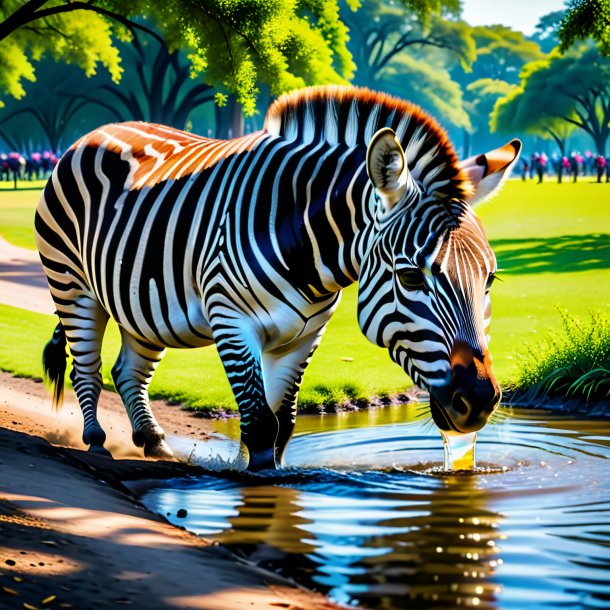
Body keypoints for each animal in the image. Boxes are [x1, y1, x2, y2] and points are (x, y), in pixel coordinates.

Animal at [35, 85, 516, 468]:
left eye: (489, 280)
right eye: (412, 278)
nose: (478, 400)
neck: (303, 244)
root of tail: (94, 132)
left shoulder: (303, 337)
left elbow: (284, 423)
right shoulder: (231, 322)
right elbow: (259, 425)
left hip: (142, 304)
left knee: (127, 371)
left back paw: (154, 442)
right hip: (71, 284)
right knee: (87, 368)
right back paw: (96, 442)